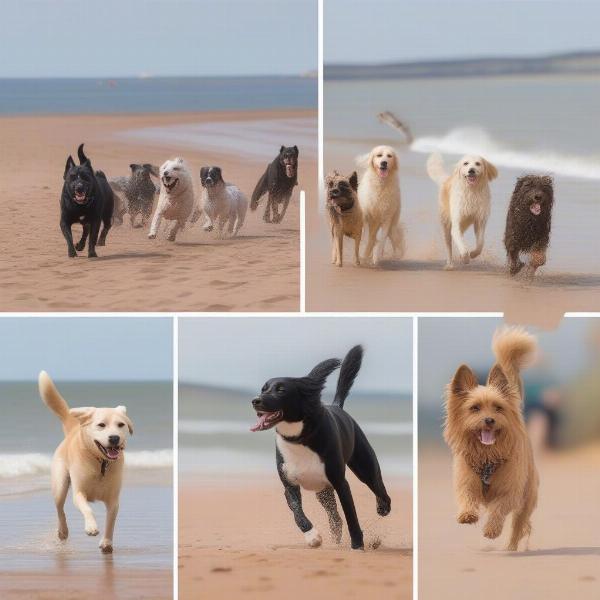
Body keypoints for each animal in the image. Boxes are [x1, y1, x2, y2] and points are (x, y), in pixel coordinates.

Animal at [39, 370, 134, 552]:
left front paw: (107, 542)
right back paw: (63, 531)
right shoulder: (79, 492)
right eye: (101, 425)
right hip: (60, 485)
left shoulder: (113, 499)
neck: (100, 462)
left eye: (121, 425)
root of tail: (73, 430)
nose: (114, 438)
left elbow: (111, 520)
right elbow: (88, 509)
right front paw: (91, 527)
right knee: (60, 509)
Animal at [248, 346, 390, 548]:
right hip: (323, 491)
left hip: (364, 467)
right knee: (335, 517)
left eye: (281, 389)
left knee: (378, 487)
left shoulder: (341, 483)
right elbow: (298, 513)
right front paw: (312, 536)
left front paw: (357, 545)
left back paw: (383, 507)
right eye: (263, 388)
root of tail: (337, 406)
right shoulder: (289, 485)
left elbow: (351, 516)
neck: (298, 437)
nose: (255, 400)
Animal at [442, 326, 536, 552]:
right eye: (474, 408)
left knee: (518, 526)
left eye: (498, 407)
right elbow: (466, 497)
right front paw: (467, 514)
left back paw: (510, 547)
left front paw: (492, 530)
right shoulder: (465, 481)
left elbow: (498, 508)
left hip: (527, 498)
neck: (487, 456)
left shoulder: (510, 492)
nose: (489, 420)